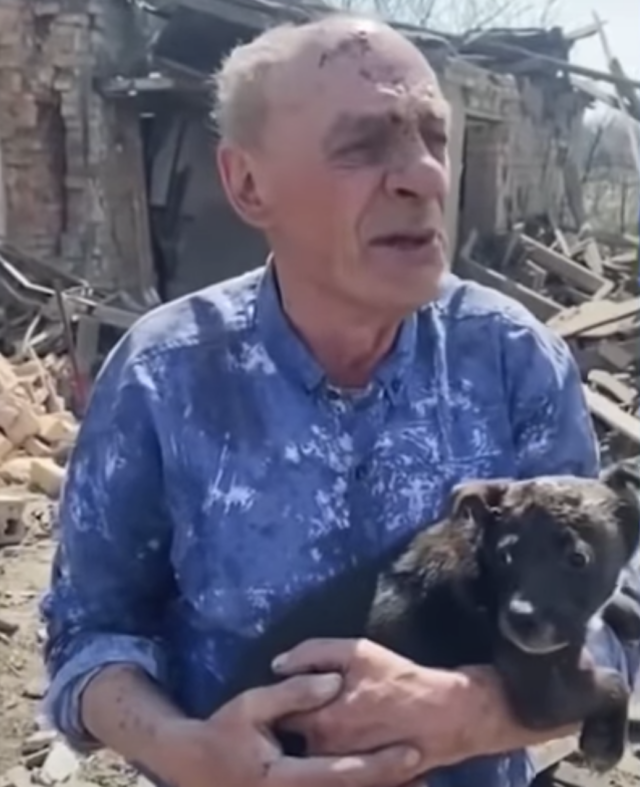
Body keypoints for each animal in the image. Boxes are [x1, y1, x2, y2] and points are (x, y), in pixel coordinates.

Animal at [219, 462, 640, 776]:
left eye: (578, 559)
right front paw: (605, 744)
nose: (520, 620)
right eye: (507, 556)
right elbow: (614, 682)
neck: (480, 564)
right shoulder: (545, 692)